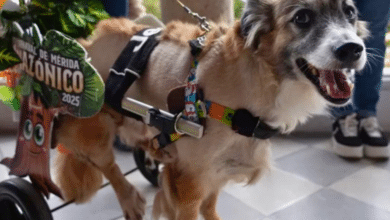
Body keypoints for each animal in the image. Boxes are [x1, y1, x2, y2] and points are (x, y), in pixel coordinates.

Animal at [53, 0, 368, 219]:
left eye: (350, 12)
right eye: (301, 17)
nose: (353, 49)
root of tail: (84, 41)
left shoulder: (217, 171)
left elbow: (211, 206)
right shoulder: (190, 181)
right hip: (93, 130)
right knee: (108, 166)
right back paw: (129, 199)